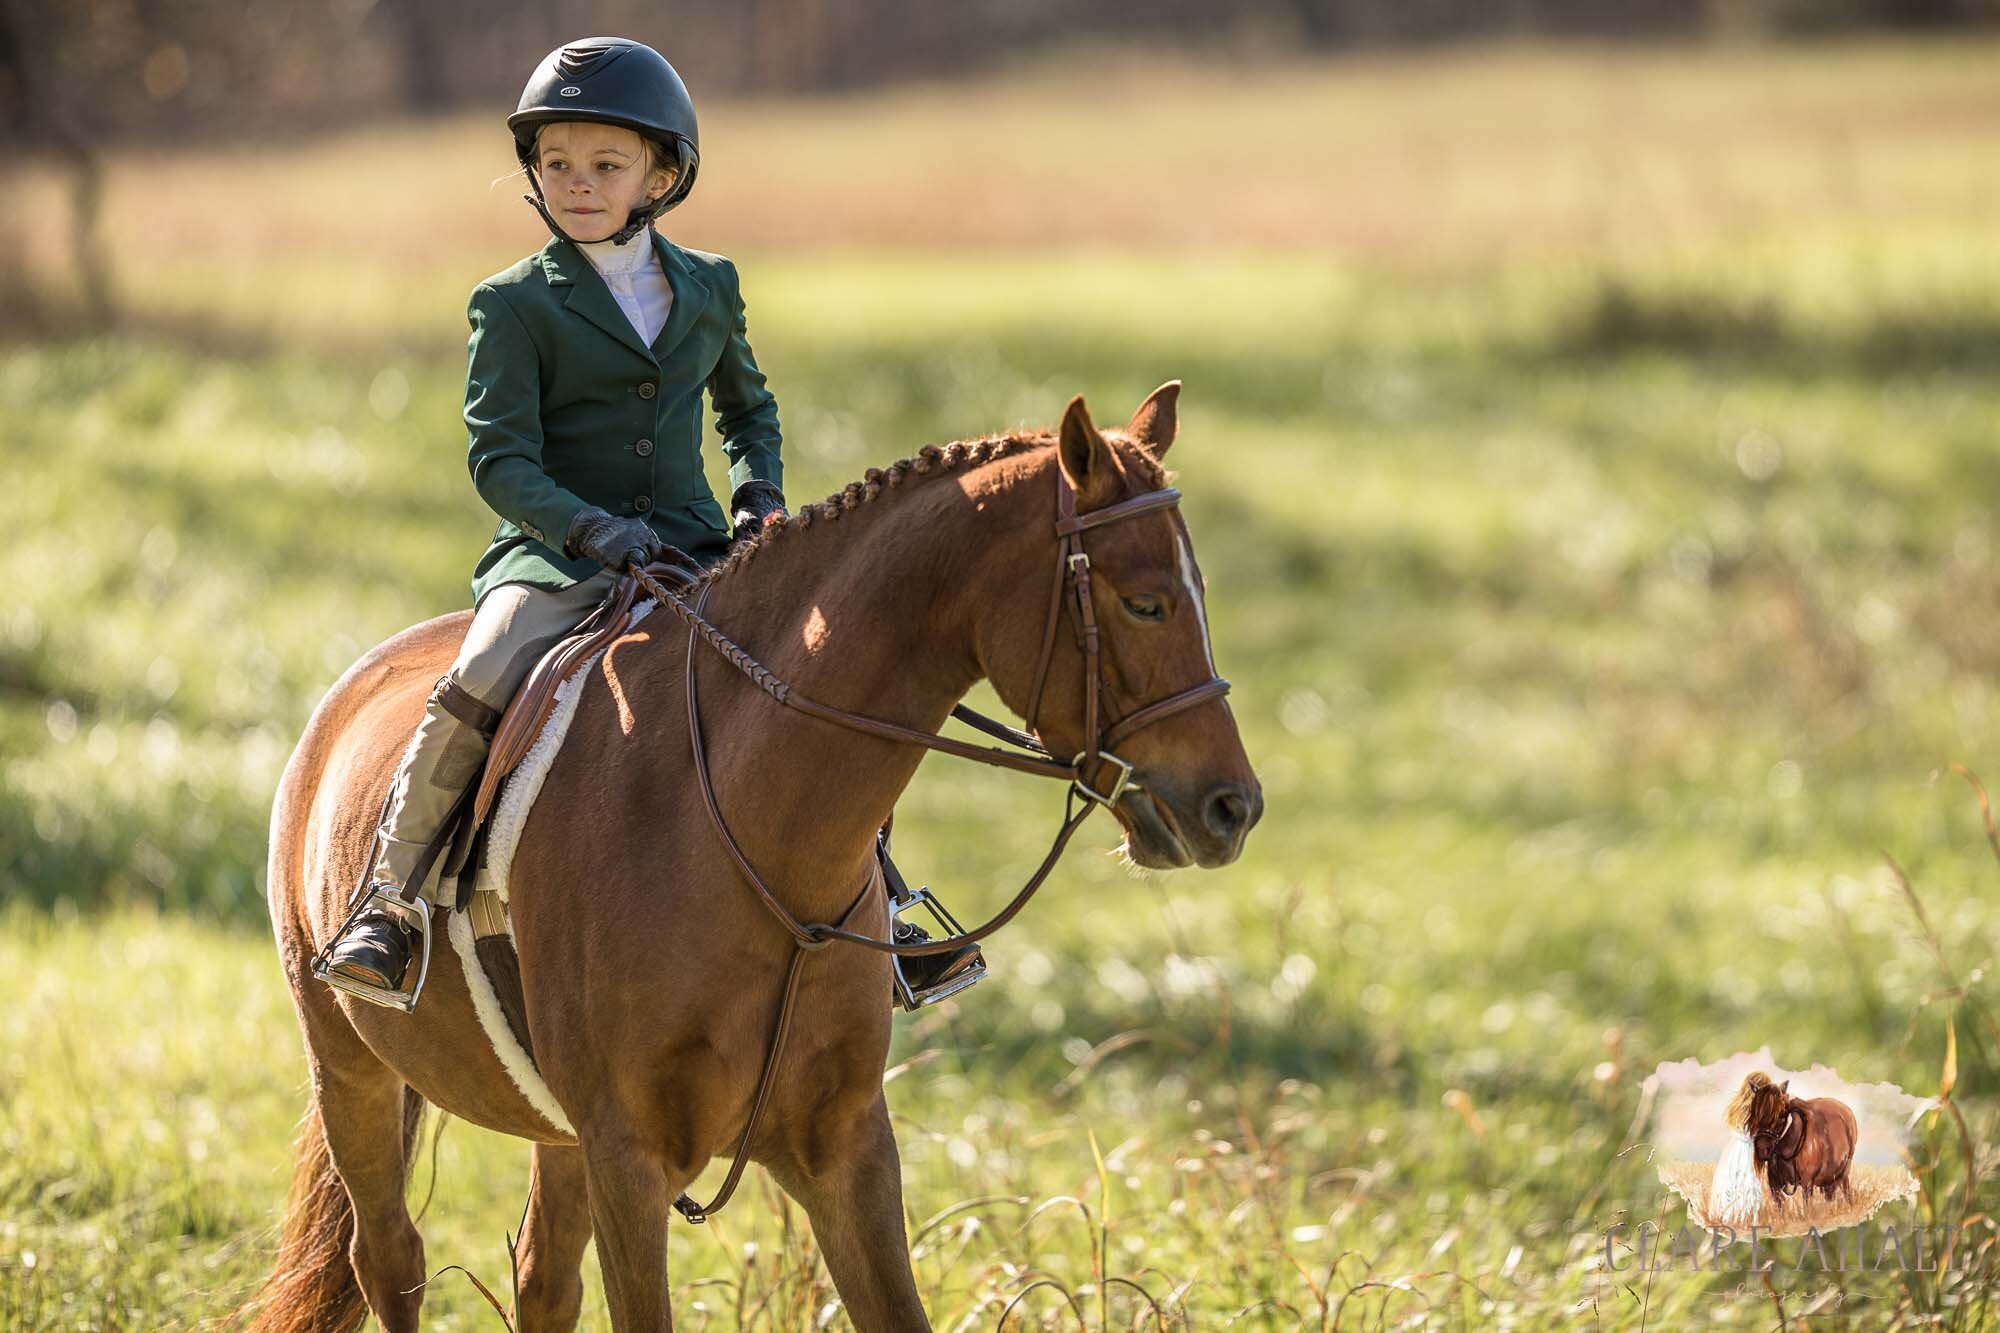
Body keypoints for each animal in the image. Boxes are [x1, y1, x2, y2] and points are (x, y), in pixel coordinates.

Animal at [246, 378, 1248, 1320]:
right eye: (1145, 602)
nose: (1235, 806)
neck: (758, 847)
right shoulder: (628, 1157)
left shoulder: (844, 1149)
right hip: (351, 1067)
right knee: (390, 1259)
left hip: (556, 1134)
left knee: (541, 1277)